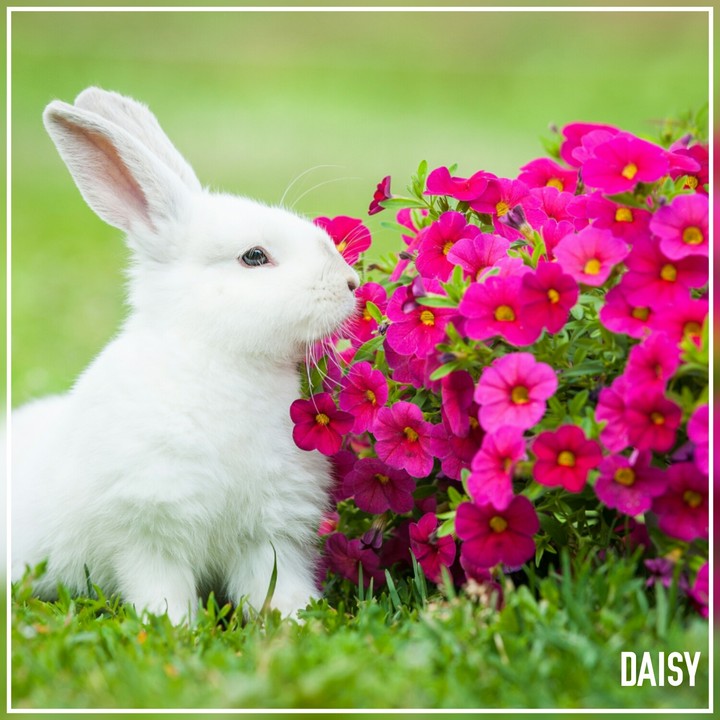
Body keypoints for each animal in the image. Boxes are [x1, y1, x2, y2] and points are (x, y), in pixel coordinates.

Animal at [11, 87, 359, 624]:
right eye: (254, 256)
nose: (351, 284)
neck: (224, 360)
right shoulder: (148, 531)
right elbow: (162, 588)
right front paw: (174, 627)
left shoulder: (270, 533)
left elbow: (277, 586)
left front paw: (300, 620)